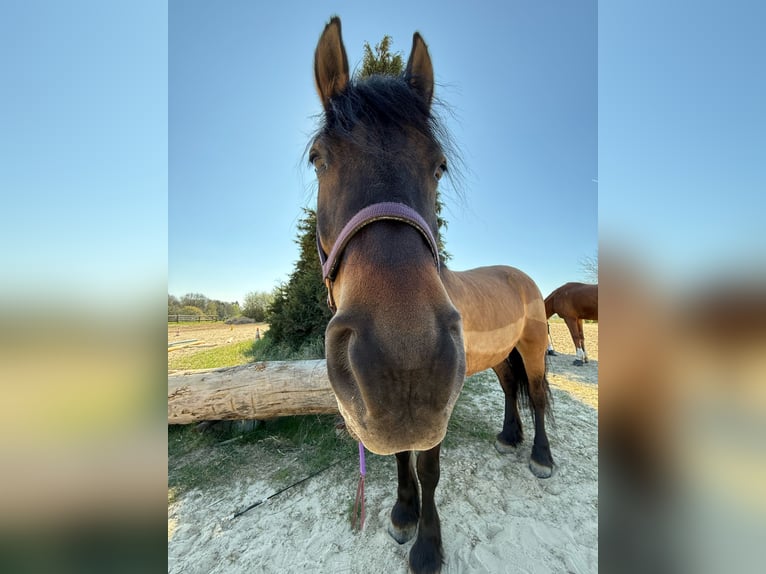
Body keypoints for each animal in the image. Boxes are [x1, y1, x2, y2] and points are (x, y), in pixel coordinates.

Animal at [312, 17, 554, 574]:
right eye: (318, 160)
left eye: (438, 165)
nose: (404, 362)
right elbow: (404, 457)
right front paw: (403, 513)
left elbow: (429, 470)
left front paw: (428, 545)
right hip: (497, 356)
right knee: (511, 389)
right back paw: (509, 437)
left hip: (531, 348)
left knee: (537, 392)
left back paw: (541, 457)